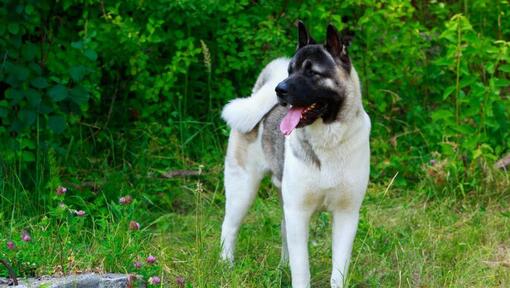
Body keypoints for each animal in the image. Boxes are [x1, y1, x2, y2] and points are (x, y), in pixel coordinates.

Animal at [219, 20, 370, 288]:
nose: (279, 90)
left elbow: (338, 271)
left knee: (282, 230)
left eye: (312, 72)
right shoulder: (299, 213)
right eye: (290, 71)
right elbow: (302, 270)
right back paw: (227, 266)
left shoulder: (346, 215)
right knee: (229, 227)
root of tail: (259, 94)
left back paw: (281, 269)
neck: (328, 140)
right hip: (242, 190)